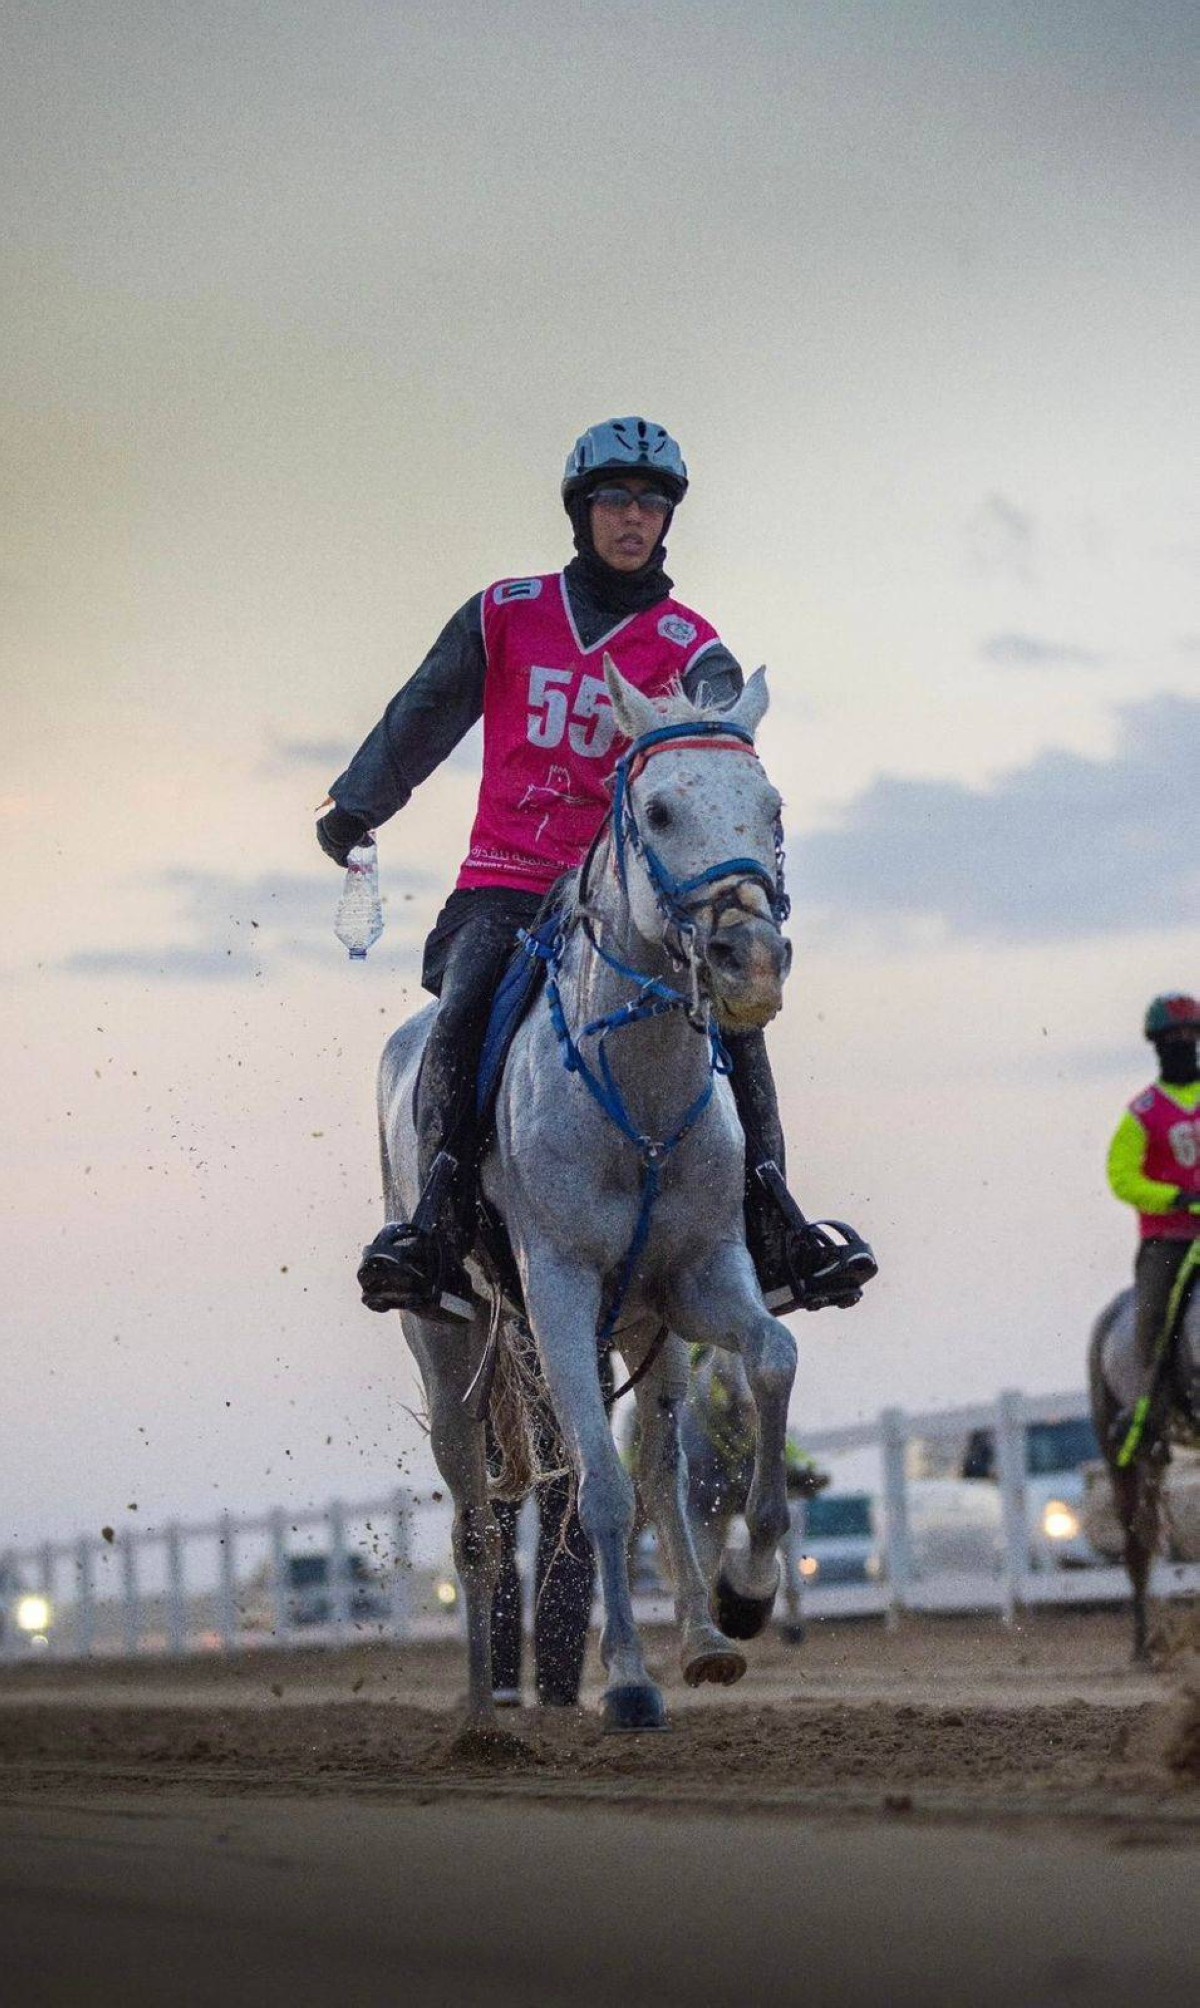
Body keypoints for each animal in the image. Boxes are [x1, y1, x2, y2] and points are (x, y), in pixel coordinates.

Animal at [375, 657, 798, 1731]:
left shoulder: (700, 1277)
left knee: (659, 1465)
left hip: (647, 1330)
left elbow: (771, 1360)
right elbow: (596, 1490)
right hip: (448, 1345)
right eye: (658, 810)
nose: (750, 962)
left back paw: (702, 1638)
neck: (635, 1098)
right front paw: (630, 1683)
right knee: (479, 1522)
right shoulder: (559, 1289)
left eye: (769, 805)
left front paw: (745, 1593)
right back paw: (484, 1718)